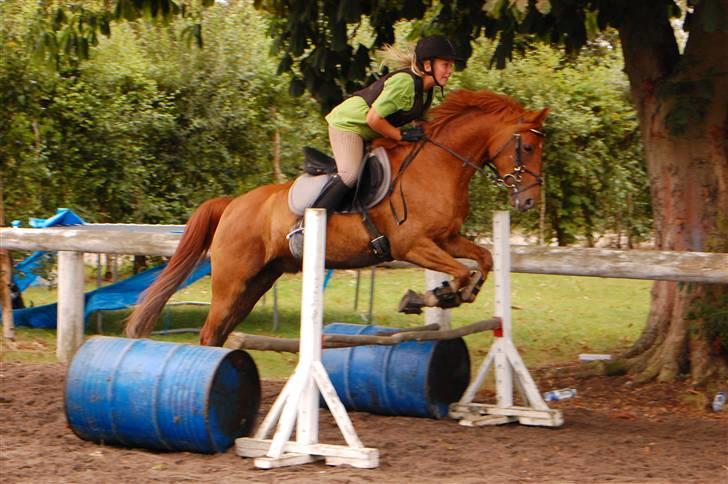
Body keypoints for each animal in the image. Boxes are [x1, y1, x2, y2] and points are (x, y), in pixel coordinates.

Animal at [123, 89, 544, 346]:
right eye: (526, 146)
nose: (528, 202)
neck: (438, 165)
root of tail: (232, 204)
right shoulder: (412, 245)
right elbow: (457, 270)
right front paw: (427, 296)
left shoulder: (446, 239)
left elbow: (483, 259)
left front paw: (455, 293)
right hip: (231, 280)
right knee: (211, 331)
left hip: (257, 282)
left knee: (223, 331)